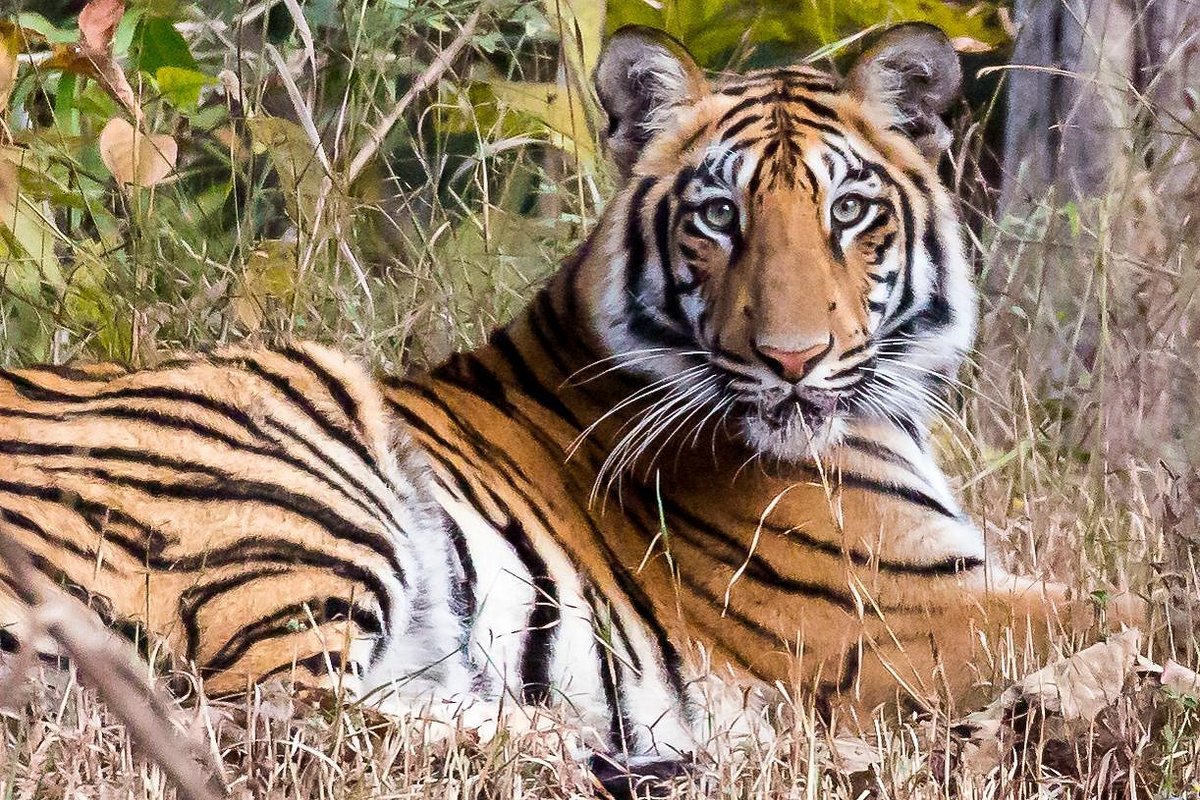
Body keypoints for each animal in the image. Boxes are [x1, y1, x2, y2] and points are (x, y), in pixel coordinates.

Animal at [0, 22, 1139, 794]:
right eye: (718, 216)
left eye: (849, 210)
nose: (792, 360)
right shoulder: (900, 615)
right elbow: (1131, 606)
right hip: (294, 458)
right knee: (274, 712)